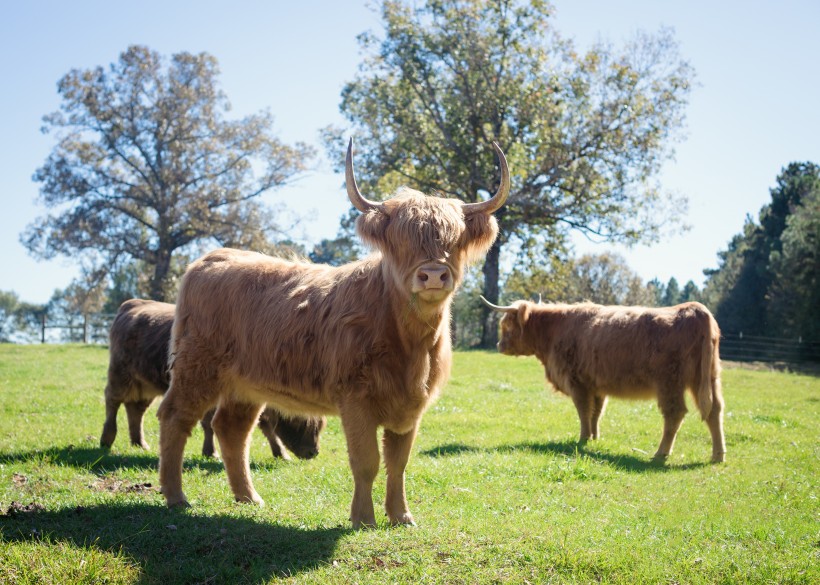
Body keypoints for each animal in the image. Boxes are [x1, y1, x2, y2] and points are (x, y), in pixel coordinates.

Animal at [100, 298, 324, 458]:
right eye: (301, 421)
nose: (313, 452)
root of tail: (132, 304)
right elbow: (209, 424)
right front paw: (211, 452)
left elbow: (266, 428)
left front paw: (280, 453)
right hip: (120, 375)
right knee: (113, 401)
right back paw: (106, 439)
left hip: (145, 384)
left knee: (135, 409)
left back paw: (140, 443)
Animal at [157, 138, 510, 524]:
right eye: (401, 241)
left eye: (455, 240)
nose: (433, 274)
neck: (409, 342)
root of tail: (211, 258)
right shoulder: (356, 399)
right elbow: (367, 461)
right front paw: (364, 518)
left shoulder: (411, 405)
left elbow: (398, 463)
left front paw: (401, 516)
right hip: (197, 368)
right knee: (175, 418)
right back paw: (176, 496)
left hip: (245, 383)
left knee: (232, 429)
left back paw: (249, 497)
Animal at [480, 298, 724, 464]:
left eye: (506, 325)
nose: (499, 345)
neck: (553, 332)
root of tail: (695, 310)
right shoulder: (596, 385)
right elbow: (596, 412)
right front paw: (595, 437)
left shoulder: (577, 382)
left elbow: (583, 412)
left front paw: (583, 439)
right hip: (707, 378)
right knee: (715, 411)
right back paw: (718, 455)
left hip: (669, 382)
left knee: (674, 413)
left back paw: (660, 453)